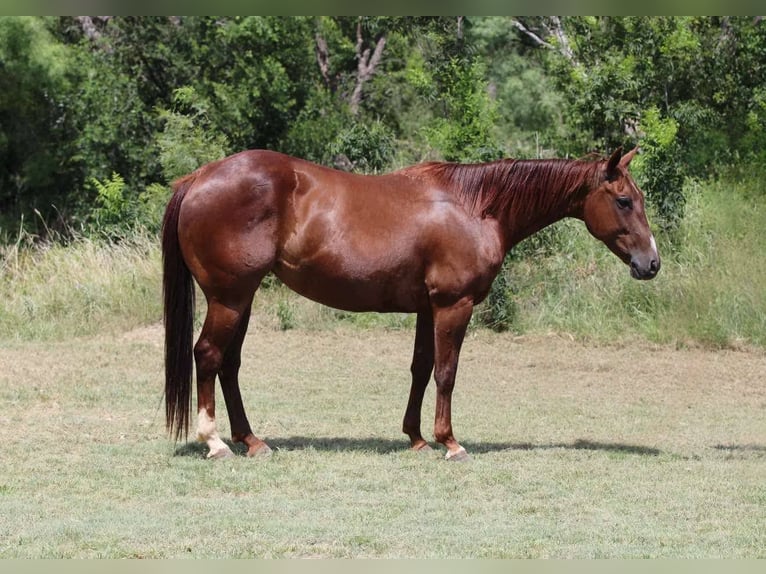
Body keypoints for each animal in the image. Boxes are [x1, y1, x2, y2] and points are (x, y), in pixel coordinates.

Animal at [161, 147, 659, 461]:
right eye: (623, 200)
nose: (651, 263)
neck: (474, 206)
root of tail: (199, 178)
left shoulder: (427, 308)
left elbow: (421, 368)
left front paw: (416, 438)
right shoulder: (454, 305)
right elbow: (446, 373)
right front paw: (450, 443)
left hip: (241, 299)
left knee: (229, 365)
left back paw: (251, 440)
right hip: (229, 298)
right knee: (208, 355)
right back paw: (215, 443)